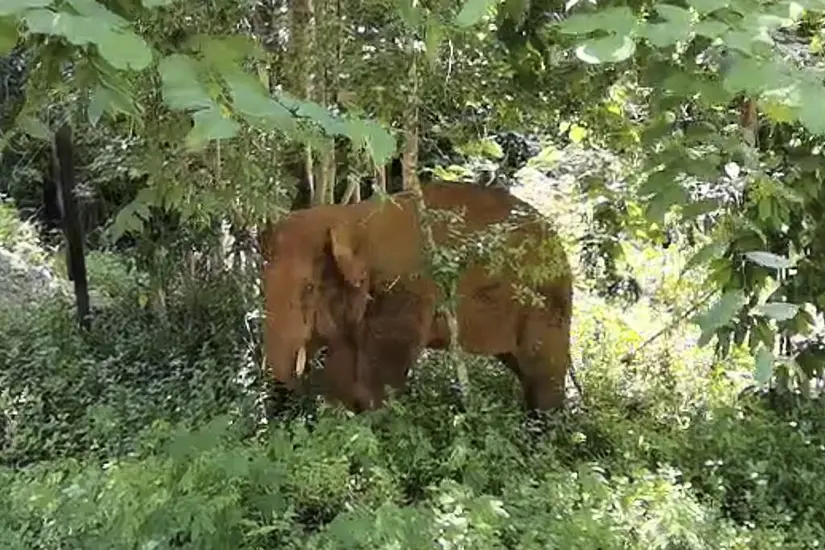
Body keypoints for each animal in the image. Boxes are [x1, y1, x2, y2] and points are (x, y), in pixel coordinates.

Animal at [260, 182, 568, 414]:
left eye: (309, 288)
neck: (348, 218)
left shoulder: (404, 291)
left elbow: (385, 366)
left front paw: (371, 417)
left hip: (547, 303)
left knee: (541, 370)